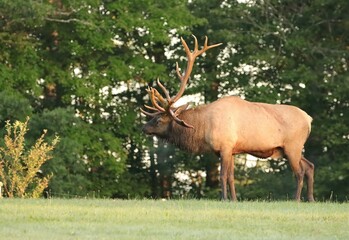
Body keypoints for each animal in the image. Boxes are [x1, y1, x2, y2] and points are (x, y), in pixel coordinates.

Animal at [140, 34, 314, 202]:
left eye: (158, 120)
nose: (144, 128)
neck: (202, 128)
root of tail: (309, 119)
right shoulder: (231, 150)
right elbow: (231, 177)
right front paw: (234, 199)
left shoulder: (225, 146)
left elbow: (223, 175)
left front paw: (223, 198)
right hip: (290, 149)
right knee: (310, 166)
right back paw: (311, 199)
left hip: (293, 146)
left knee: (299, 172)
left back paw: (296, 200)